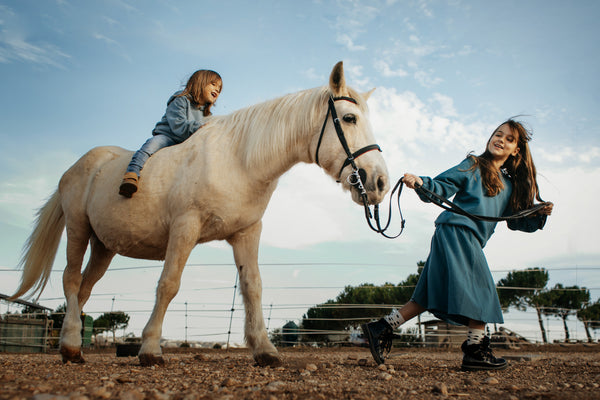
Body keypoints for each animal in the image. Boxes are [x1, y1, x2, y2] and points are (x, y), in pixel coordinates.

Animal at [14, 61, 392, 366]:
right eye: (349, 118)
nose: (380, 181)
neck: (237, 160)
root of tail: (78, 166)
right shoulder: (185, 227)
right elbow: (168, 284)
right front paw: (150, 350)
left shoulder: (246, 233)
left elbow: (253, 287)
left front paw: (265, 351)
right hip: (78, 229)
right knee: (70, 280)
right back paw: (70, 346)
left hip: (104, 246)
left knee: (83, 289)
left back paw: (73, 347)